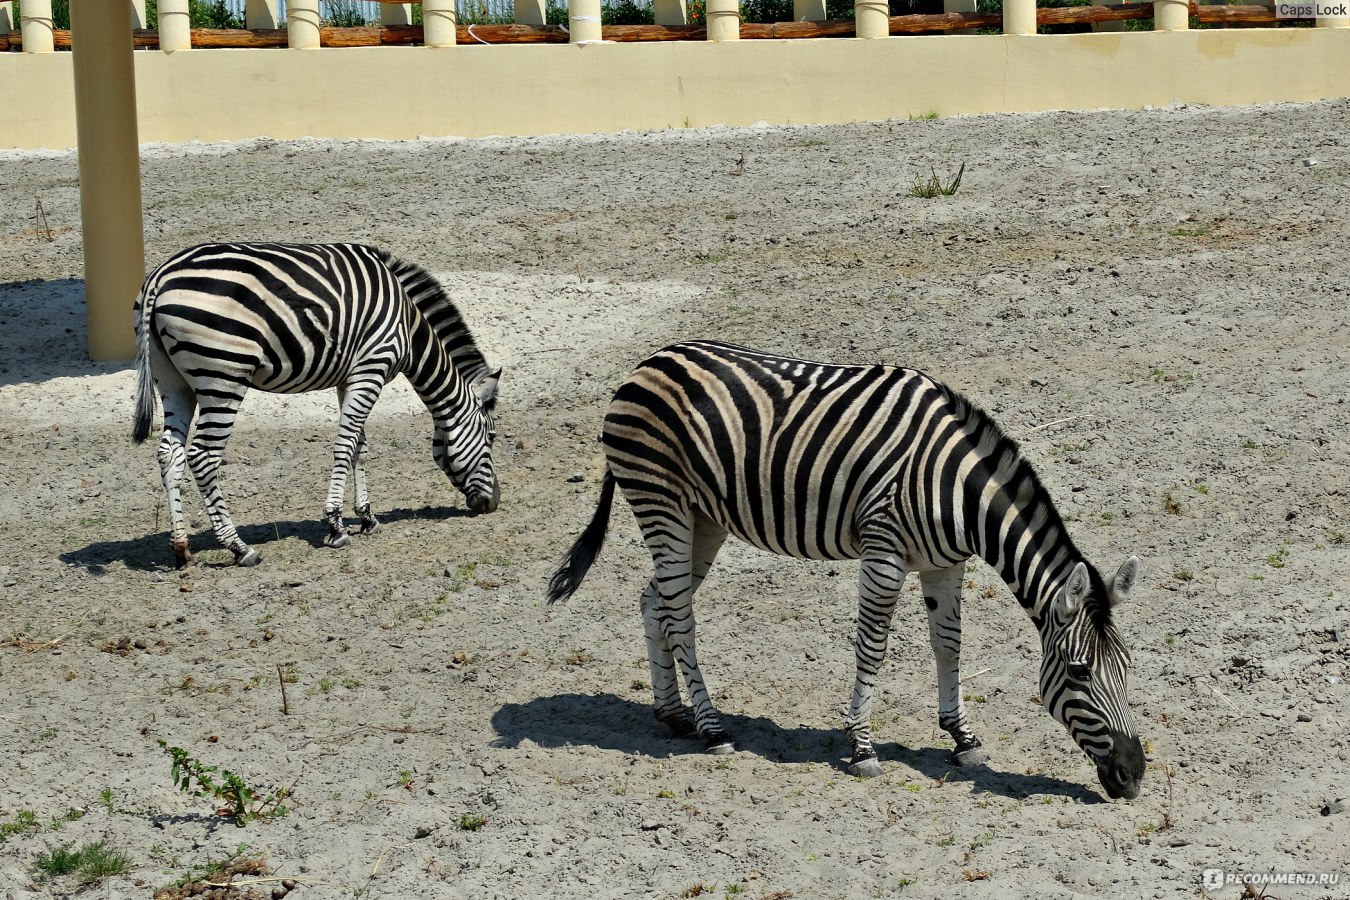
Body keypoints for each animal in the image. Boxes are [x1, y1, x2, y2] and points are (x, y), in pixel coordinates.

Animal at [132, 244, 502, 569]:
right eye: (492, 437)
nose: (494, 503)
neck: (409, 328)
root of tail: (161, 276)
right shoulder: (372, 367)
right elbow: (345, 444)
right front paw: (336, 525)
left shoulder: (350, 377)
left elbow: (360, 446)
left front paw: (367, 517)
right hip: (223, 378)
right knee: (203, 457)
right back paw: (239, 548)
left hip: (175, 383)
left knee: (170, 454)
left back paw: (182, 550)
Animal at [542, 341, 1144, 798]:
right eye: (1079, 674)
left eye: (1127, 668)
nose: (1135, 774)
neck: (958, 490)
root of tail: (648, 360)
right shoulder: (884, 552)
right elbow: (872, 647)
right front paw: (861, 746)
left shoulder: (946, 564)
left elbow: (948, 646)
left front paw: (962, 738)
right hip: (660, 500)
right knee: (681, 615)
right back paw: (712, 729)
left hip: (702, 518)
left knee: (657, 601)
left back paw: (673, 715)